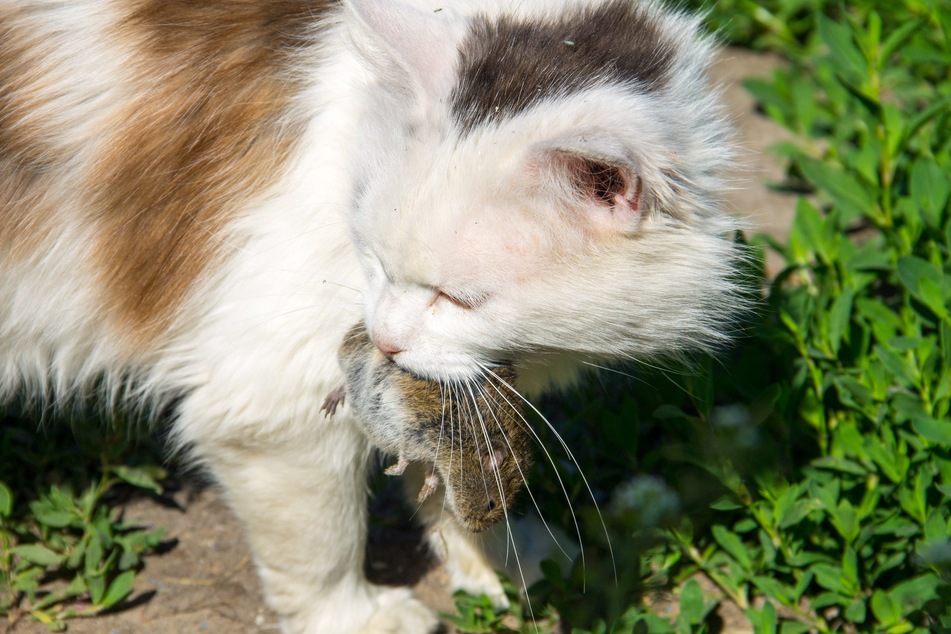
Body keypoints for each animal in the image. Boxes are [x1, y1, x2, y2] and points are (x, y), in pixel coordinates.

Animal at [1, 0, 752, 628]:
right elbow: (322, 547)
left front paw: (507, 559)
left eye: (456, 298)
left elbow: (460, 474)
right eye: (375, 261)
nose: (386, 340)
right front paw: (354, 618)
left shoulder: (462, 389)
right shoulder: (273, 401)